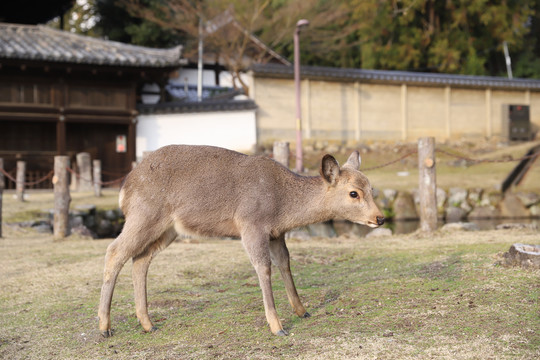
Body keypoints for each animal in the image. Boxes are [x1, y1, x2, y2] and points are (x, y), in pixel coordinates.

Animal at [97, 144, 384, 338]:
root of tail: (125, 187)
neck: (283, 206)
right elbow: (262, 267)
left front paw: (302, 310)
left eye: (372, 189)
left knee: (140, 259)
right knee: (114, 251)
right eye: (354, 193)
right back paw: (104, 326)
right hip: (144, 215)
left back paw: (148, 323)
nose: (380, 218)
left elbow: (285, 263)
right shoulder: (251, 224)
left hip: (168, 230)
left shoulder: (276, 233)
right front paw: (277, 327)